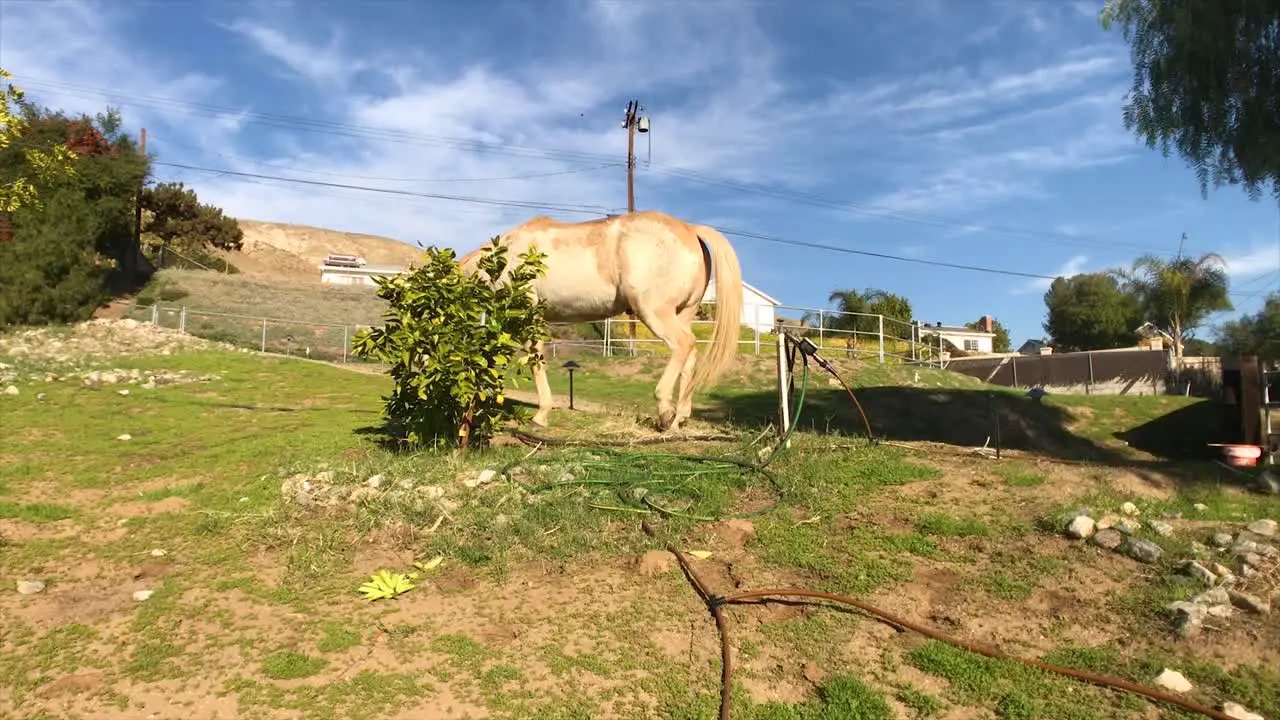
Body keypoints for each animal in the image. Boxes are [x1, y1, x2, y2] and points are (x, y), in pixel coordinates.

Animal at [458, 208, 742, 430]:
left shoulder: (530, 316)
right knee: (690, 358)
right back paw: (679, 418)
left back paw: (664, 411)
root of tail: (690, 230)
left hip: (655, 313)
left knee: (683, 345)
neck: (504, 258)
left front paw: (541, 415)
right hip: (684, 313)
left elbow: (535, 362)